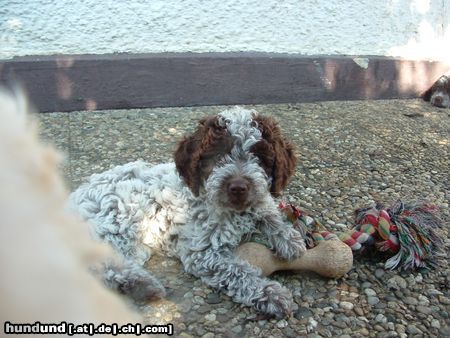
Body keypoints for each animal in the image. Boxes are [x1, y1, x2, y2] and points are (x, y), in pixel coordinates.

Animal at [71, 107, 306, 316]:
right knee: (101, 266)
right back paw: (143, 285)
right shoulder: (203, 253)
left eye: (259, 157)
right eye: (218, 156)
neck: (234, 211)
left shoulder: (257, 203)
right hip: (117, 225)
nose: (238, 187)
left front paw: (290, 240)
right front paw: (270, 293)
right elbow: (237, 272)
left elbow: (267, 211)